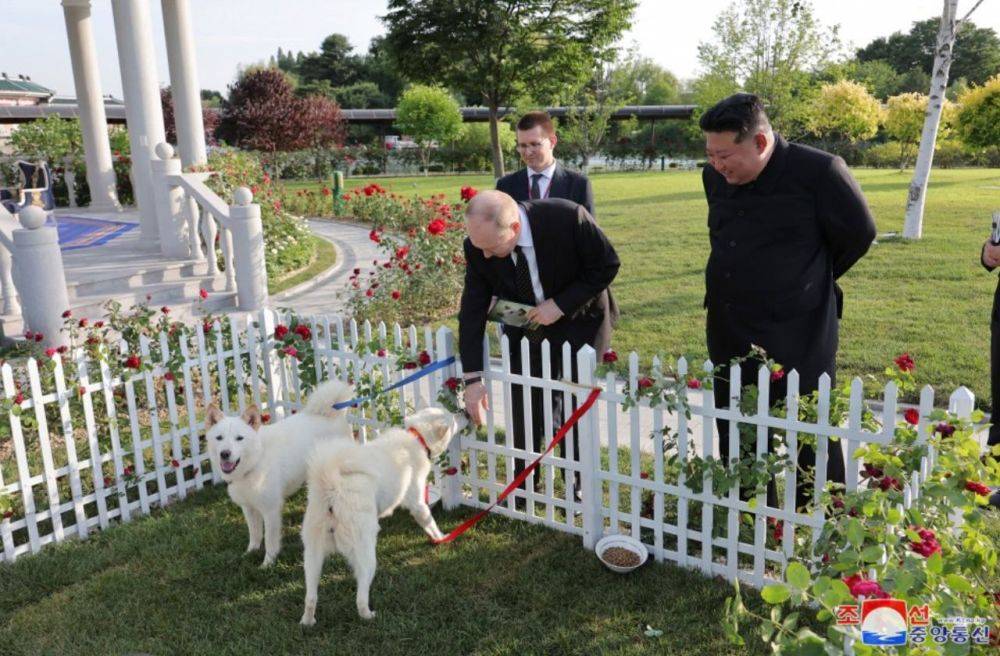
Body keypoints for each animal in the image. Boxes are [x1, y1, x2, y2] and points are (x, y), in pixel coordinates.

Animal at [205, 380, 354, 568]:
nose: (225, 453)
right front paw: (250, 553)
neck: (256, 460)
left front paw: (267, 564)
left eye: (239, 438)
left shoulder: (271, 510)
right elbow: (254, 534)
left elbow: (269, 541)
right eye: (219, 438)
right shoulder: (248, 508)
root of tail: (330, 414)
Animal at [298, 404, 466, 624]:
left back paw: (308, 622)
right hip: (366, 555)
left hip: (312, 556)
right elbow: (429, 521)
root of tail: (331, 487)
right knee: (360, 597)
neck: (416, 436)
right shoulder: (417, 502)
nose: (464, 412)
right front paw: (441, 537)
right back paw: (368, 615)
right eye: (452, 418)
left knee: (310, 596)